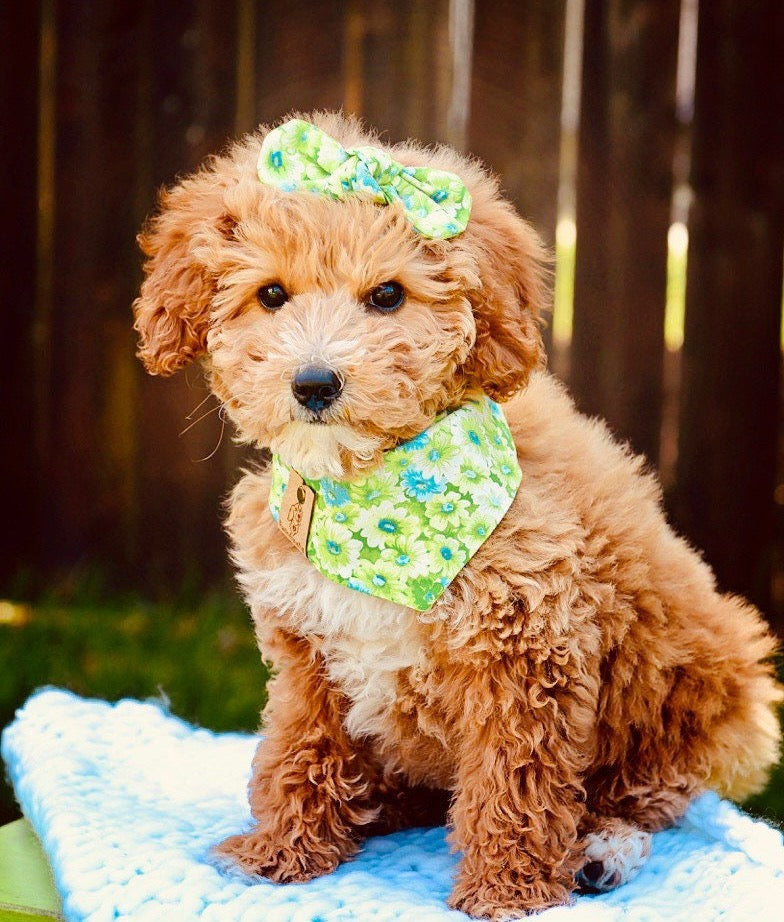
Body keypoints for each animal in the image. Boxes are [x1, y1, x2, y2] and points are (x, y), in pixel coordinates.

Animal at [132, 111, 780, 916]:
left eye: (387, 296)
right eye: (272, 294)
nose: (314, 383)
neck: (371, 497)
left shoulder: (528, 651)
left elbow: (516, 780)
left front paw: (507, 889)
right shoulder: (308, 650)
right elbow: (298, 747)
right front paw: (282, 852)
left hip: (693, 689)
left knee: (649, 794)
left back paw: (602, 849)